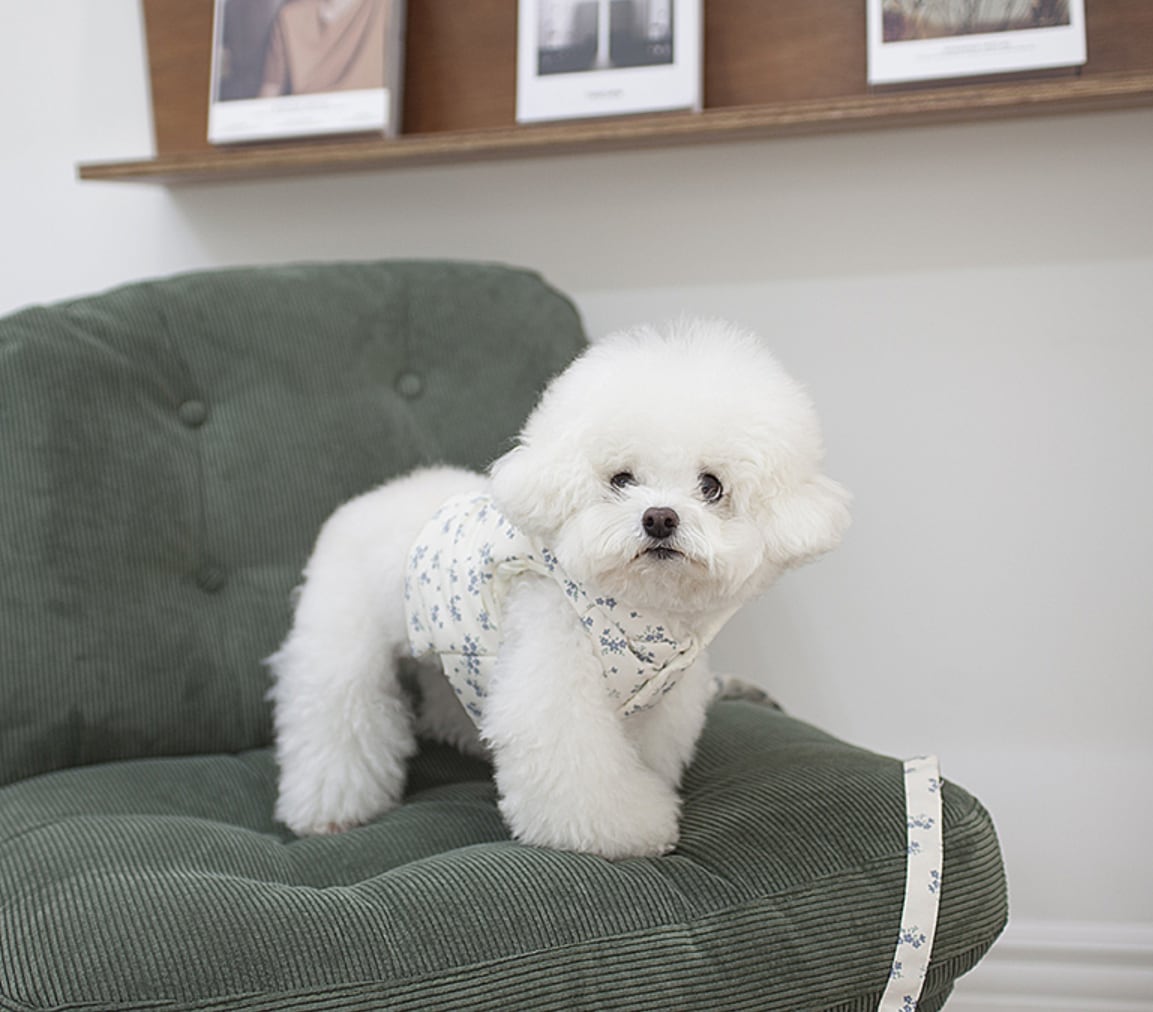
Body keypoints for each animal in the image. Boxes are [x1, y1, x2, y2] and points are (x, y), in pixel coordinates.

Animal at [268, 319, 850, 859]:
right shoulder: (555, 681)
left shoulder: (658, 705)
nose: (660, 518)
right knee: (337, 716)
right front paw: (638, 829)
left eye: (711, 486)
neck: (641, 615)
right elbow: (585, 778)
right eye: (621, 479)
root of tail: (367, 499)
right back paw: (328, 810)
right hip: (341, 646)